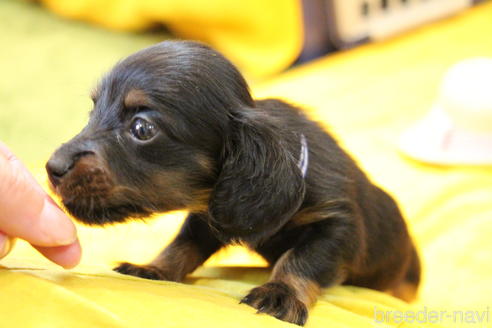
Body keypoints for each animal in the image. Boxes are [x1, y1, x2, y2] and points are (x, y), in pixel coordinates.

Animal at [47, 41, 418, 326]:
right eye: (93, 112)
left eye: (142, 128)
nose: (52, 168)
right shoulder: (208, 216)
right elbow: (183, 244)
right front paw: (152, 268)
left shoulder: (337, 224)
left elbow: (302, 258)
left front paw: (281, 293)